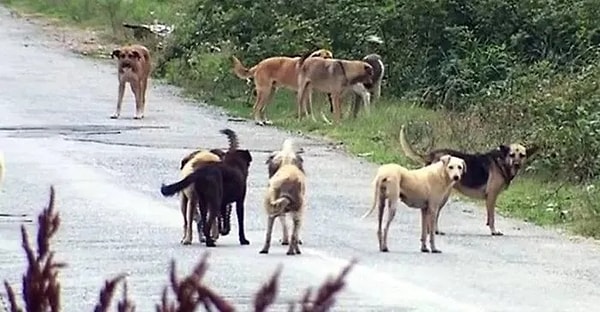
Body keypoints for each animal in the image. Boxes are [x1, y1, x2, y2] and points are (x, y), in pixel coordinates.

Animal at [398, 123, 540, 234]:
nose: (516, 164)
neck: (502, 161)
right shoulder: (492, 196)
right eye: (512, 154)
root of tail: (432, 154)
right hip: (442, 195)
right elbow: (492, 217)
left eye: (522, 155)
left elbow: (489, 217)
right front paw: (494, 231)